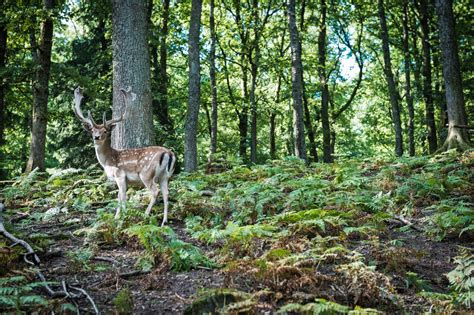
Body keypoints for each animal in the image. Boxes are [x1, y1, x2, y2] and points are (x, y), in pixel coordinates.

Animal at [73, 86, 177, 227]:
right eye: (93, 131)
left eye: (105, 131)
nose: (96, 137)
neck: (107, 161)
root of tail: (169, 153)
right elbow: (118, 196)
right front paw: (117, 217)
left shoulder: (120, 175)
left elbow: (122, 197)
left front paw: (121, 219)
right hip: (165, 175)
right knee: (166, 192)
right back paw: (164, 221)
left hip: (146, 173)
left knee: (155, 192)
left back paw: (145, 215)